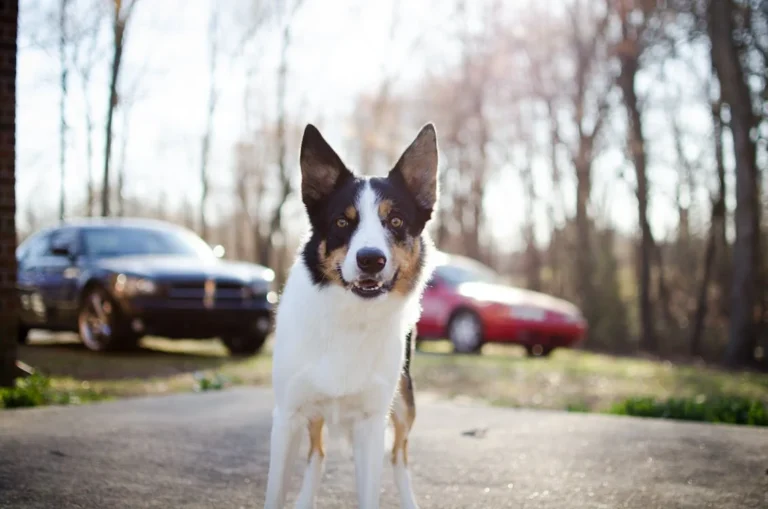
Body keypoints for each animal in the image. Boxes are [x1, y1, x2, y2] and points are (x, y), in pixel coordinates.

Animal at [264, 124, 438, 508]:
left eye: (395, 221)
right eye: (343, 221)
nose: (371, 259)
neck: (349, 317)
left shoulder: (371, 423)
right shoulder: (287, 416)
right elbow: (277, 491)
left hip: (404, 402)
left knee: (399, 456)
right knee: (318, 451)